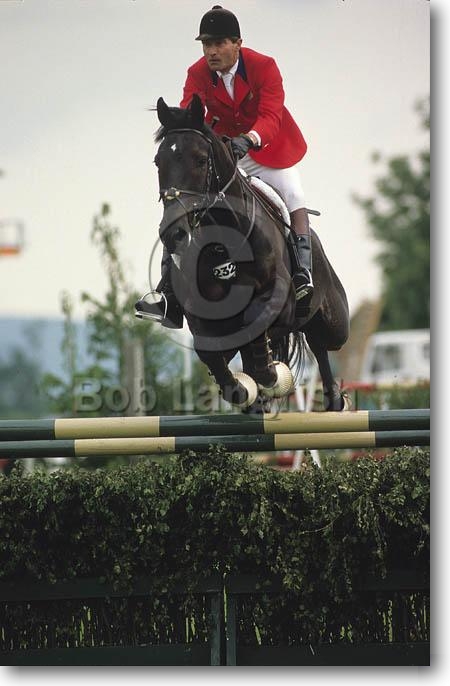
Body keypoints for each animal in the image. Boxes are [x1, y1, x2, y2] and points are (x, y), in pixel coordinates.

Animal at [151, 94, 349, 412]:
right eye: (159, 161)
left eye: (201, 160)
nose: (173, 233)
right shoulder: (201, 314)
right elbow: (210, 350)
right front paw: (241, 389)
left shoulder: (279, 300)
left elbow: (255, 322)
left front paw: (271, 375)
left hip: (334, 323)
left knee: (320, 342)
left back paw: (332, 399)